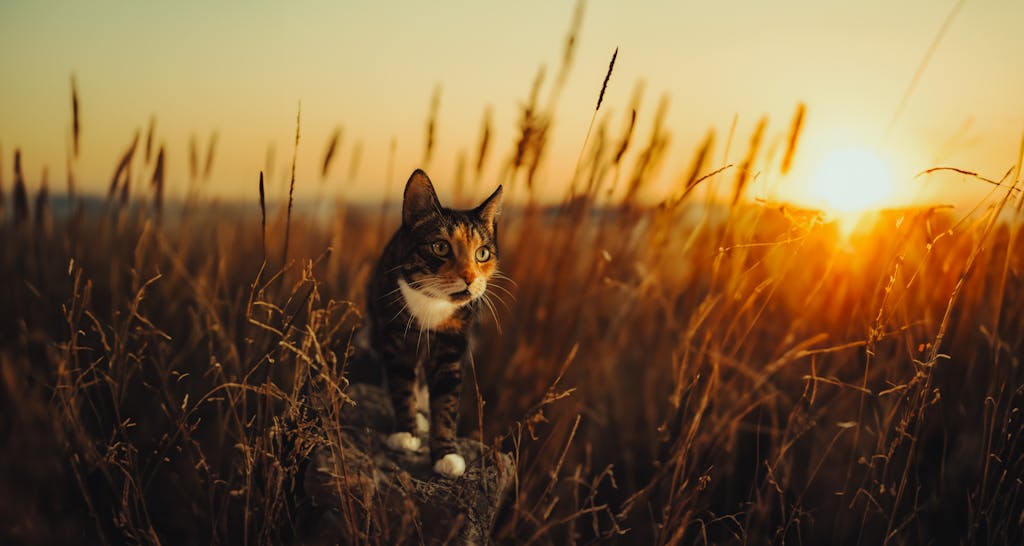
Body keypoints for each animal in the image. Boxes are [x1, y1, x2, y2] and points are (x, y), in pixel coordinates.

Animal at [368, 166, 503, 477]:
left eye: (482, 253)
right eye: (440, 247)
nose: (470, 277)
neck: (432, 305)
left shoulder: (453, 344)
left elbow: (446, 400)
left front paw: (446, 455)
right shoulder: (396, 337)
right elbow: (401, 385)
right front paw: (406, 433)